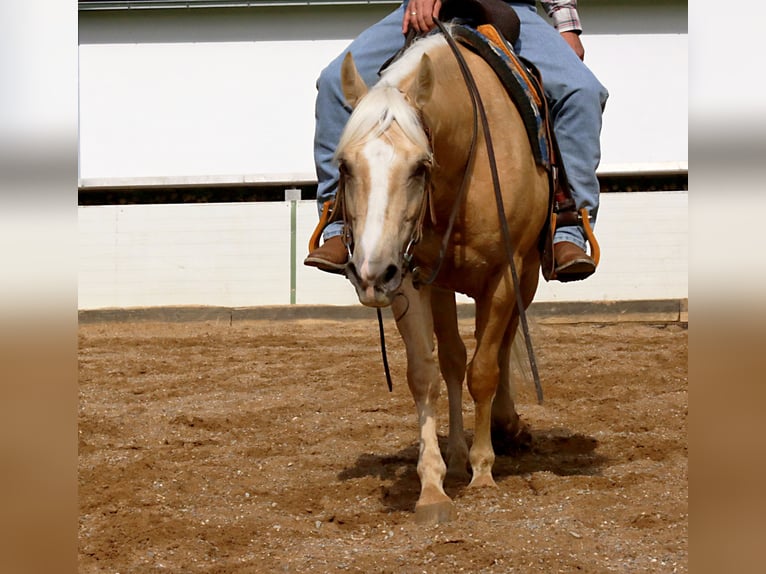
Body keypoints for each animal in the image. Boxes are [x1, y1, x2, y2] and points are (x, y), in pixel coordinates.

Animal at [335, 27, 550, 523]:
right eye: (344, 166)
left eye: (420, 166)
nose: (370, 274)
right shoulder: (410, 277)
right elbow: (425, 373)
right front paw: (433, 484)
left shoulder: (505, 276)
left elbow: (485, 370)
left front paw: (484, 471)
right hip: (438, 284)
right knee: (452, 360)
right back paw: (455, 456)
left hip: (525, 276)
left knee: (501, 344)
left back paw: (504, 428)